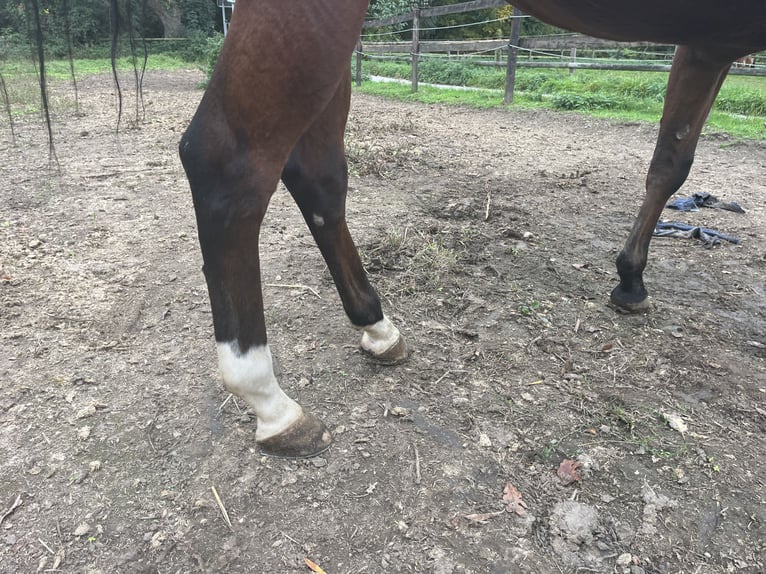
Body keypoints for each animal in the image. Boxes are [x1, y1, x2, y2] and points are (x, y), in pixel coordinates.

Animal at [177, 1, 766, 458]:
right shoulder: (709, 44)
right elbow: (673, 163)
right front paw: (632, 278)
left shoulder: (707, 43)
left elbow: (670, 158)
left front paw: (630, 279)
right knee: (230, 164)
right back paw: (270, 401)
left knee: (317, 177)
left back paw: (377, 327)